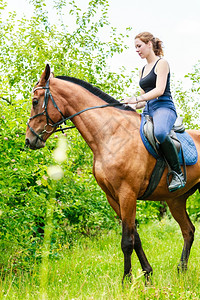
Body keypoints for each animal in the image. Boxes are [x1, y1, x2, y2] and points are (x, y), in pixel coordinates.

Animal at [25, 64, 200, 282]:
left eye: (35, 101)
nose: (29, 140)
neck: (110, 134)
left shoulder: (127, 194)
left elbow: (127, 241)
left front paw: (126, 281)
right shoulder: (113, 196)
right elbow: (135, 237)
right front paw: (147, 275)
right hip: (175, 200)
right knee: (188, 231)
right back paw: (181, 271)